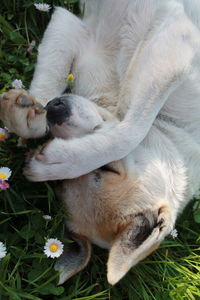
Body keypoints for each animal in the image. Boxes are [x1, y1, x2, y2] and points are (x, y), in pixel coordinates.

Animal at [0, 0, 200, 286]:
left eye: (107, 168)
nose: (56, 110)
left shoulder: (69, 26)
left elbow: (129, 127)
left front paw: (55, 158)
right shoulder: (174, 47)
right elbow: (132, 124)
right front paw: (27, 113)